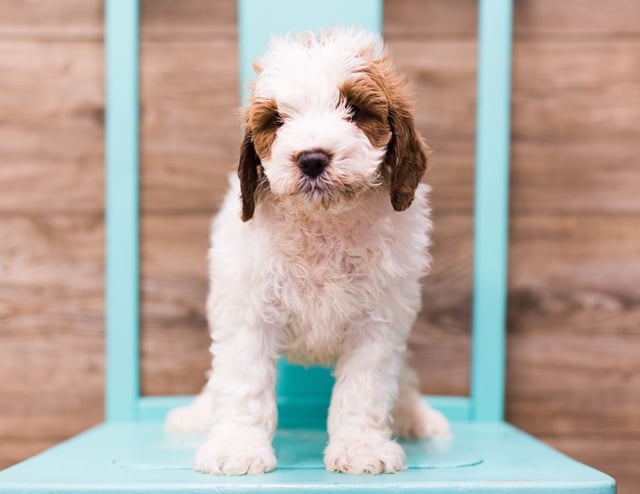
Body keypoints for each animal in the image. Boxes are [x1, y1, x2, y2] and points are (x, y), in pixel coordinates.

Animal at [165, 28, 450, 474]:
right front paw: (237, 449)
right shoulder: (248, 314)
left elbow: (365, 390)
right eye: (277, 121)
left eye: (355, 110)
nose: (312, 159)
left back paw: (413, 415)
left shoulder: (378, 321)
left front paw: (361, 447)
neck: (323, 223)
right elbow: (244, 385)